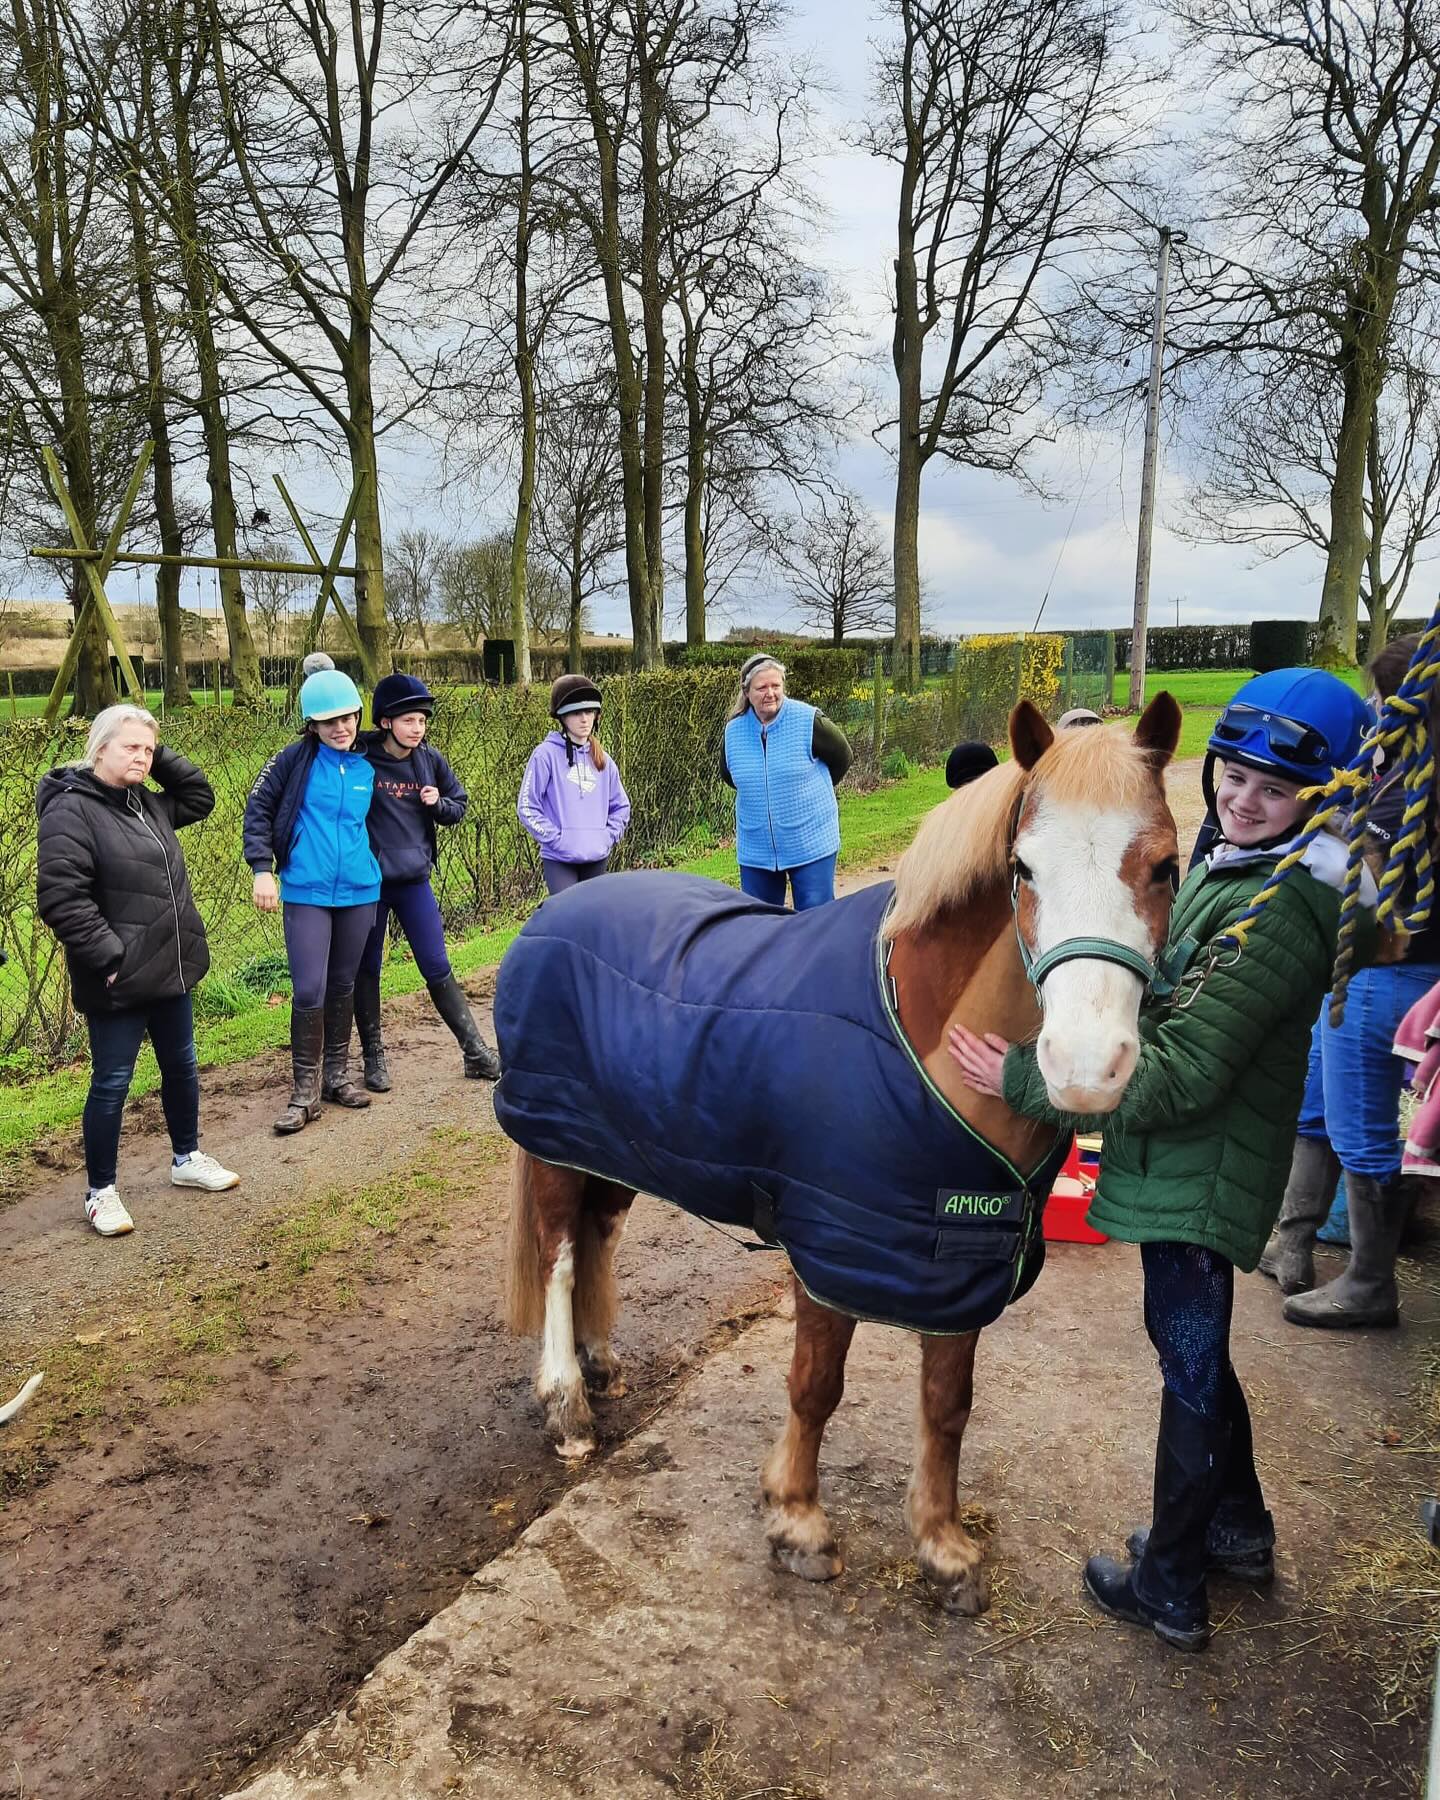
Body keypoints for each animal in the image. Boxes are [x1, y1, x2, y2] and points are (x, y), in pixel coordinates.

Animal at [498, 695, 1181, 1613]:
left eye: (1166, 867)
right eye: (1024, 868)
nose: (1083, 1066)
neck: (917, 1038)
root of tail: (551, 915)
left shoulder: (954, 1260)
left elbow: (948, 1403)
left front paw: (943, 1547)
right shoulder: (829, 1249)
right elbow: (816, 1387)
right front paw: (796, 1523)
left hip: (617, 1149)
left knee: (599, 1239)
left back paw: (602, 1367)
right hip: (557, 1145)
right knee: (562, 1259)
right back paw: (568, 1407)